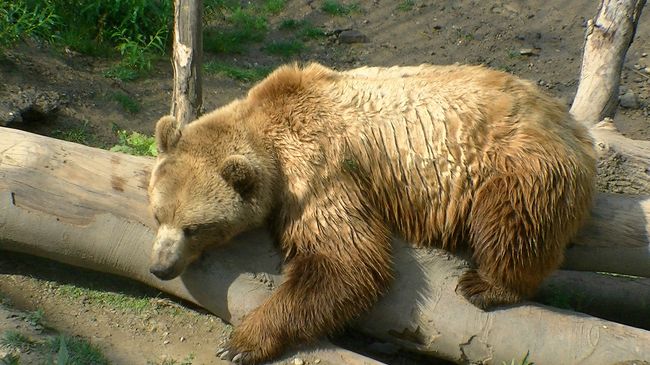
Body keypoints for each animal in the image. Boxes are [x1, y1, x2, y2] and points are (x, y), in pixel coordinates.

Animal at [146, 62, 592, 364]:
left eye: (195, 227)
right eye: (158, 215)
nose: (161, 267)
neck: (269, 132)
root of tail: (573, 125)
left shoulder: (316, 170)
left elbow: (347, 259)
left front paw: (240, 342)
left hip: (513, 161)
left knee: (512, 221)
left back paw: (485, 284)